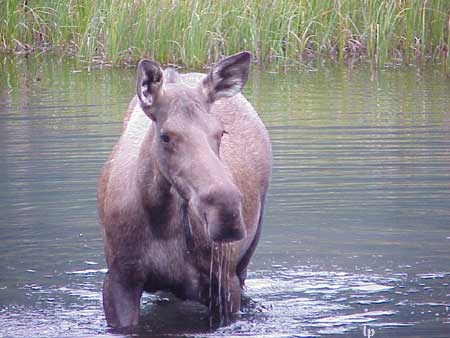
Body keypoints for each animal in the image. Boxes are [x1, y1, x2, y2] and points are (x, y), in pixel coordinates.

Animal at [96, 51, 270, 328]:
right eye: (166, 136)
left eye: (221, 132)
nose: (227, 214)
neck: (162, 222)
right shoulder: (119, 280)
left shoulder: (224, 281)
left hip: (246, 255)